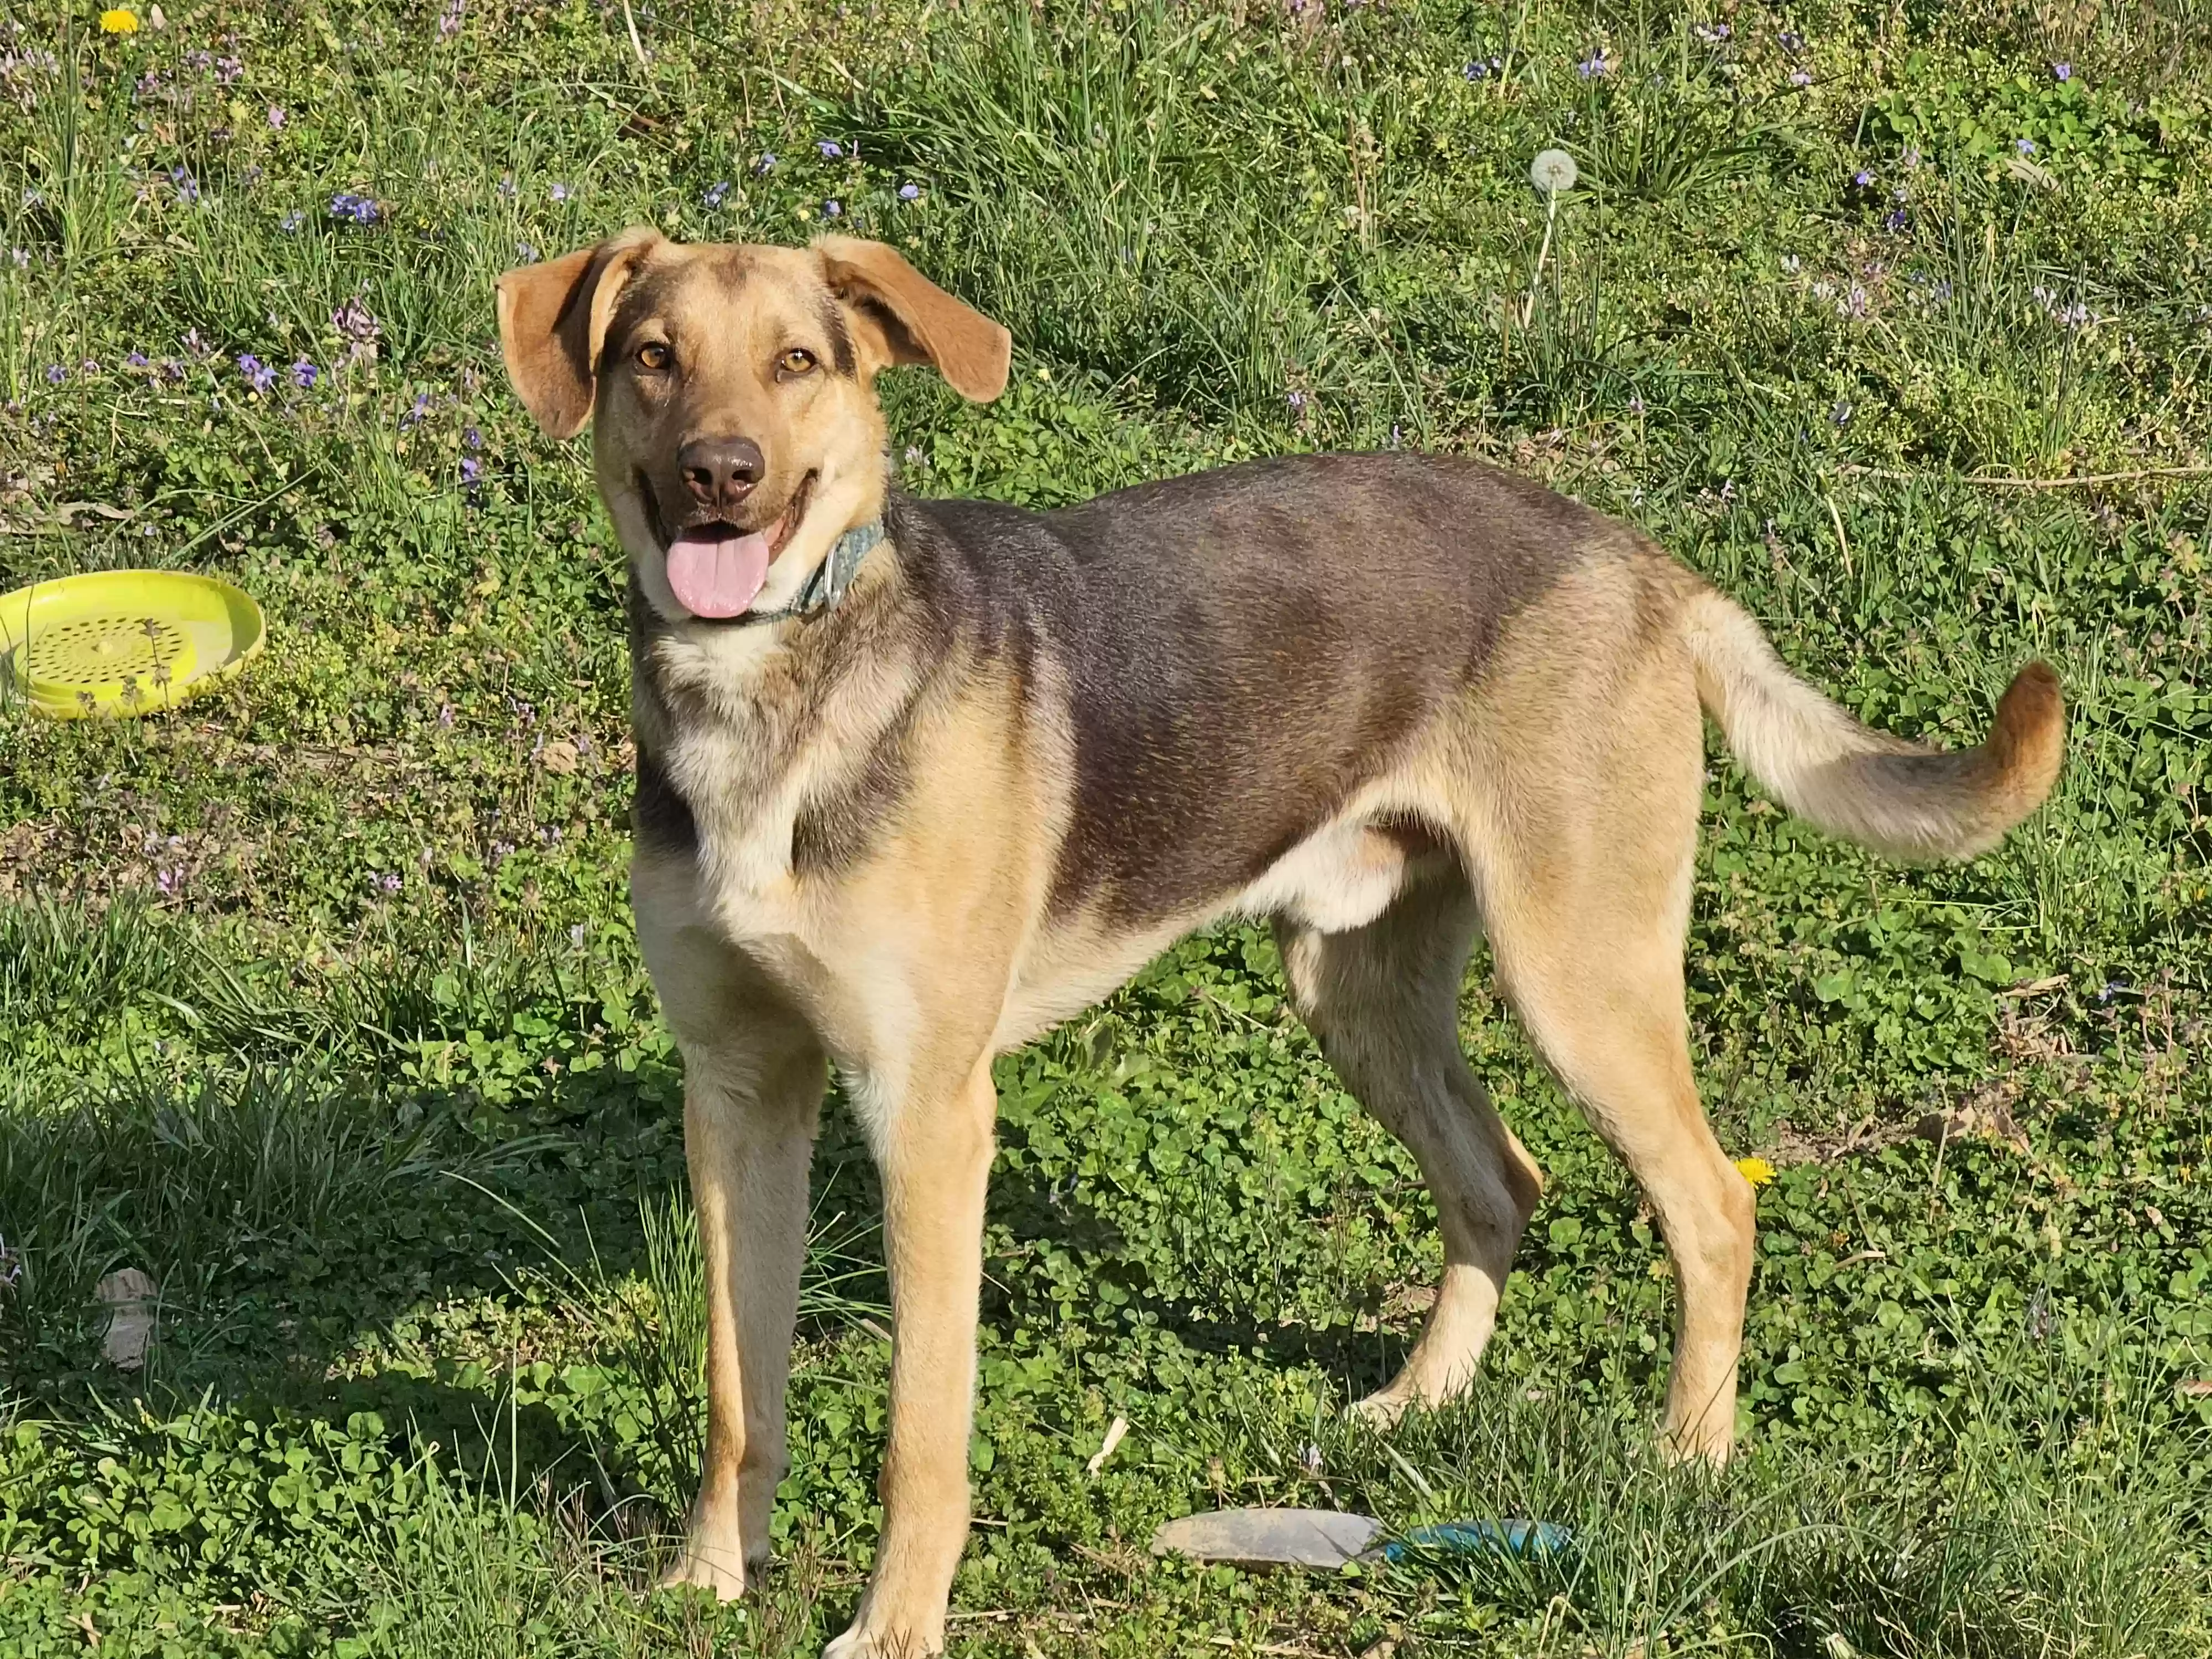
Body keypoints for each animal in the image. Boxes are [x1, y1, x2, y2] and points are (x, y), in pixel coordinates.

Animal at [493, 237, 2062, 1659]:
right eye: (652, 356)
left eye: (797, 363)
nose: (722, 473)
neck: (768, 693)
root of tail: (1640, 562)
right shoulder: (738, 1092)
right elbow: (735, 1387)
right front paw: (708, 1578)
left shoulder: (926, 1113)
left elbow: (920, 1434)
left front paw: (894, 1630)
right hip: (1354, 986)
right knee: (1502, 1182)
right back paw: (1420, 1405)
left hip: (1579, 979)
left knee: (1712, 1208)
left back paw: (1687, 1462)